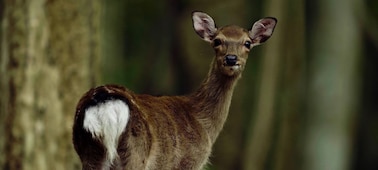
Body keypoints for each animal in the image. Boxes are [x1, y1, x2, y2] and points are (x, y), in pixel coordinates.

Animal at [72, 11, 276, 169]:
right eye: (217, 41)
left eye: (247, 43)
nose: (231, 59)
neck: (204, 124)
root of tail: (103, 102)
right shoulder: (190, 161)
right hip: (135, 153)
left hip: (89, 152)